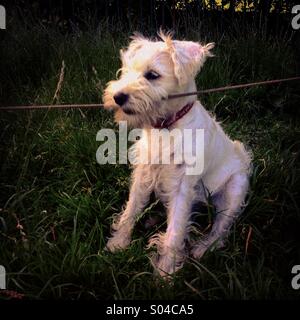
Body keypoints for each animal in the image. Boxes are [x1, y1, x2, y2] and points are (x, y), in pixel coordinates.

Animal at [102, 31, 251, 278]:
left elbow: (174, 233)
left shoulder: (182, 187)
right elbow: (131, 210)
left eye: (152, 75)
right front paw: (118, 244)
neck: (166, 127)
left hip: (235, 189)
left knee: (221, 229)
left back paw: (202, 248)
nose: (118, 97)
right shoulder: (143, 174)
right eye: (126, 70)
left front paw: (165, 274)